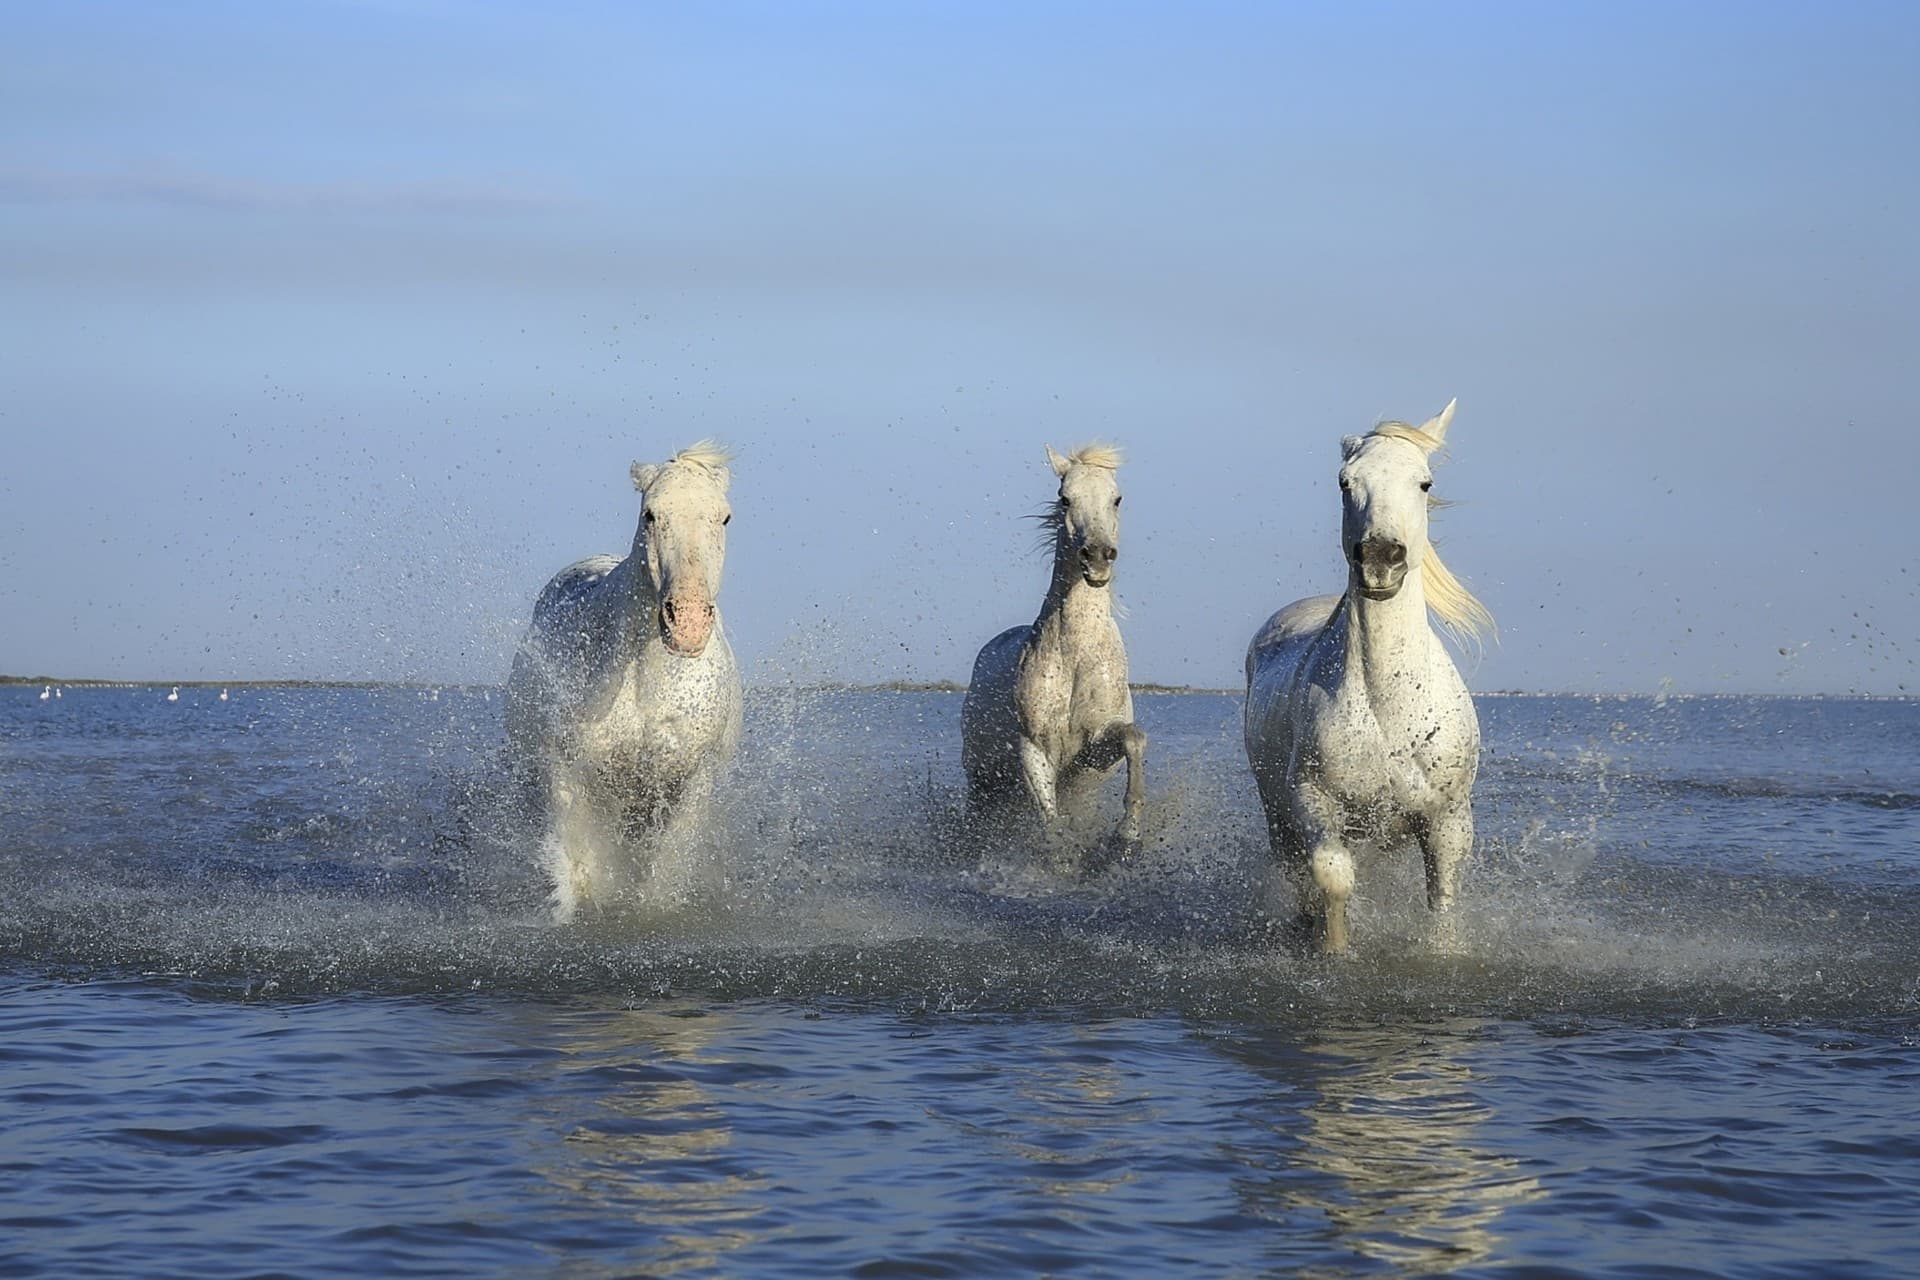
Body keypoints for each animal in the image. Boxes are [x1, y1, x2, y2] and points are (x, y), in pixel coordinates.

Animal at [504, 442, 743, 921]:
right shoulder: (569, 769)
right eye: (650, 514)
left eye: (724, 517)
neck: (645, 679)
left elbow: (664, 865)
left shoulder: (692, 779)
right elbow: (579, 865)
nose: (687, 623)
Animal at [961, 444, 1146, 865]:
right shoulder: (1034, 748)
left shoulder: (1094, 751)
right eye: (1065, 498)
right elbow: (1051, 821)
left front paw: (1127, 837)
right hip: (981, 779)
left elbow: (1134, 738)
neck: (1076, 655)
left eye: (1117, 498)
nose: (1097, 557)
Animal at [1244, 400, 1492, 953]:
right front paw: (1333, 950)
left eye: (1423, 482)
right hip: (1277, 815)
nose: (1381, 558)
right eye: (1344, 481)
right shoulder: (1313, 801)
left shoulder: (1448, 820)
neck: (1389, 705)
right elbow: (1332, 878)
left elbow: (1441, 900)